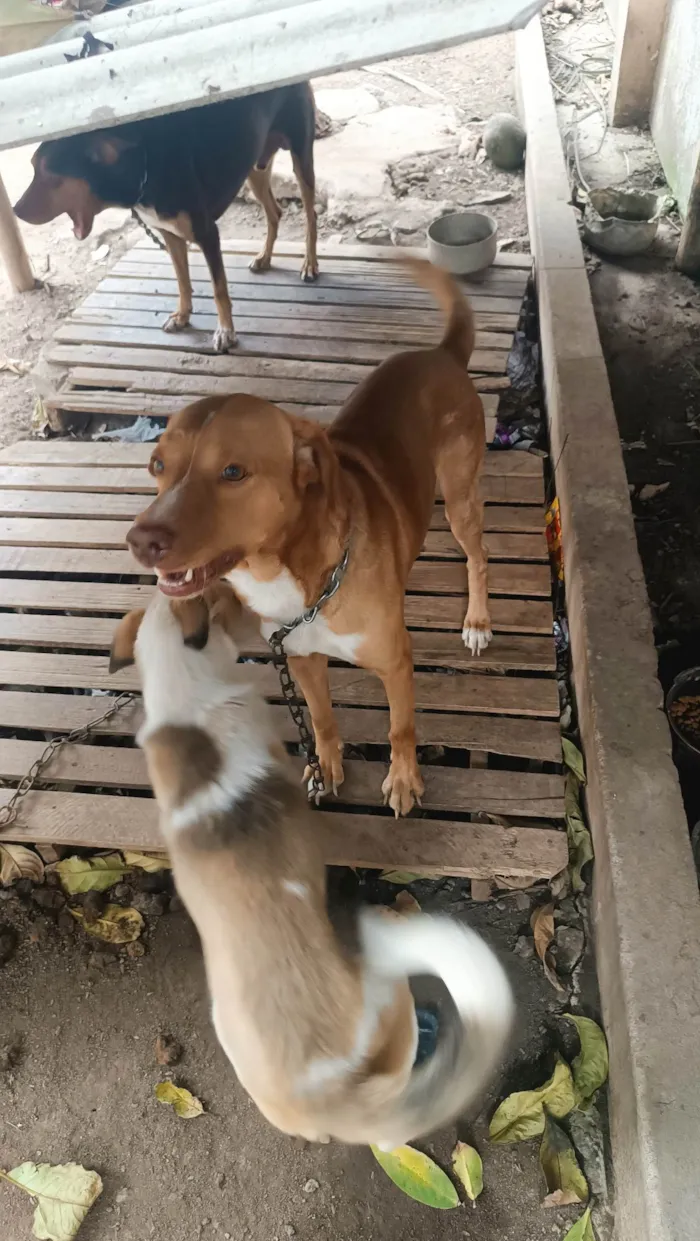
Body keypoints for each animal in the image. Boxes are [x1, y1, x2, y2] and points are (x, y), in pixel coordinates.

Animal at [13, 85, 317, 352]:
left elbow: (219, 290)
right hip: (255, 168)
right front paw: (183, 316)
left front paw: (226, 332)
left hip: (301, 156)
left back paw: (310, 265)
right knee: (275, 213)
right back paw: (265, 257)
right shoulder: (170, 235)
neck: (144, 172)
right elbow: (182, 281)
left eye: (48, 173)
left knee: (310, 216)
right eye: (33, 167)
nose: (15, 210)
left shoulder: (208, 235)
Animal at [125, 260, 491, 814]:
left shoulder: (395, 664)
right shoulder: (299, 659)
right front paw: (326, 768)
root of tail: (441, 353)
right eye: (156, 465)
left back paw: (477, 620)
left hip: (460, 498)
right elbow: (320, 718)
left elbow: (400, 729)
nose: (140, 541)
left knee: (478, 556)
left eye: (233, 471)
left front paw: (404, 780)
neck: (297, 581)